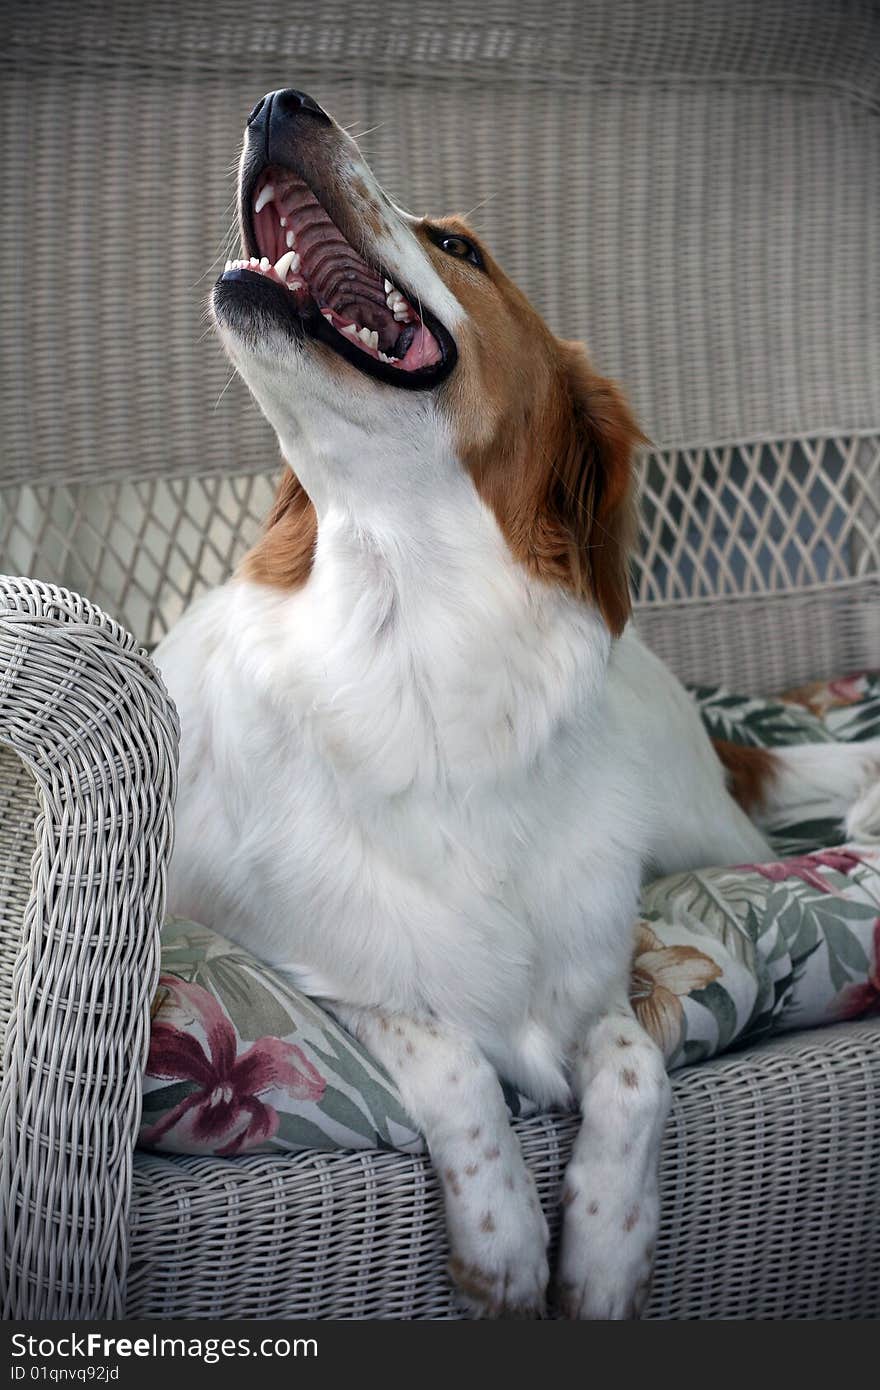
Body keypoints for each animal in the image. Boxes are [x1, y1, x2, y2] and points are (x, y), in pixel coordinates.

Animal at [156, 92, 878, 1317]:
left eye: (458, 246)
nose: (279, 102)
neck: (419, 655)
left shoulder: (614, 967)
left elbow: (636, 1069)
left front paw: (605, 1247)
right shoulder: (271, 952)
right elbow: (436, 1036)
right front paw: (500, 1235)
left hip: (708, 835)